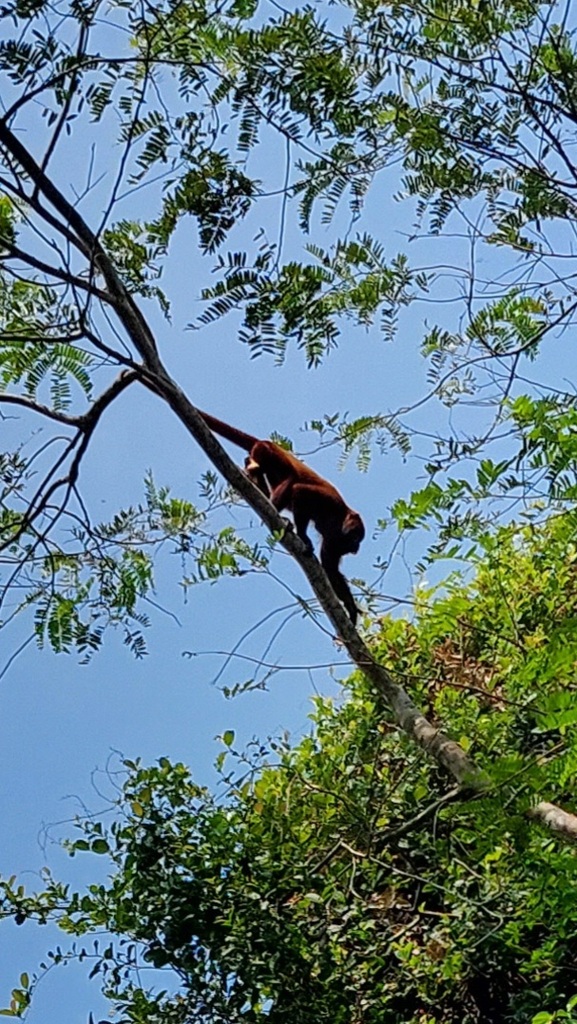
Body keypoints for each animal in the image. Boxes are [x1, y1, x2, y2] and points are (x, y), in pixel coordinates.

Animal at [196, 409, 362, 622]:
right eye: (356, 538)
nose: (356, 549)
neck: (341, 518)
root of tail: (266, 442)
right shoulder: (330, 503)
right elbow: (301, 492)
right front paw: (303, 537)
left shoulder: (334, 541)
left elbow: (330, 569)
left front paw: (351, 608)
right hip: (269, 453)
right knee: (290, 479)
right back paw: (275, 510)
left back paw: (252, 472)